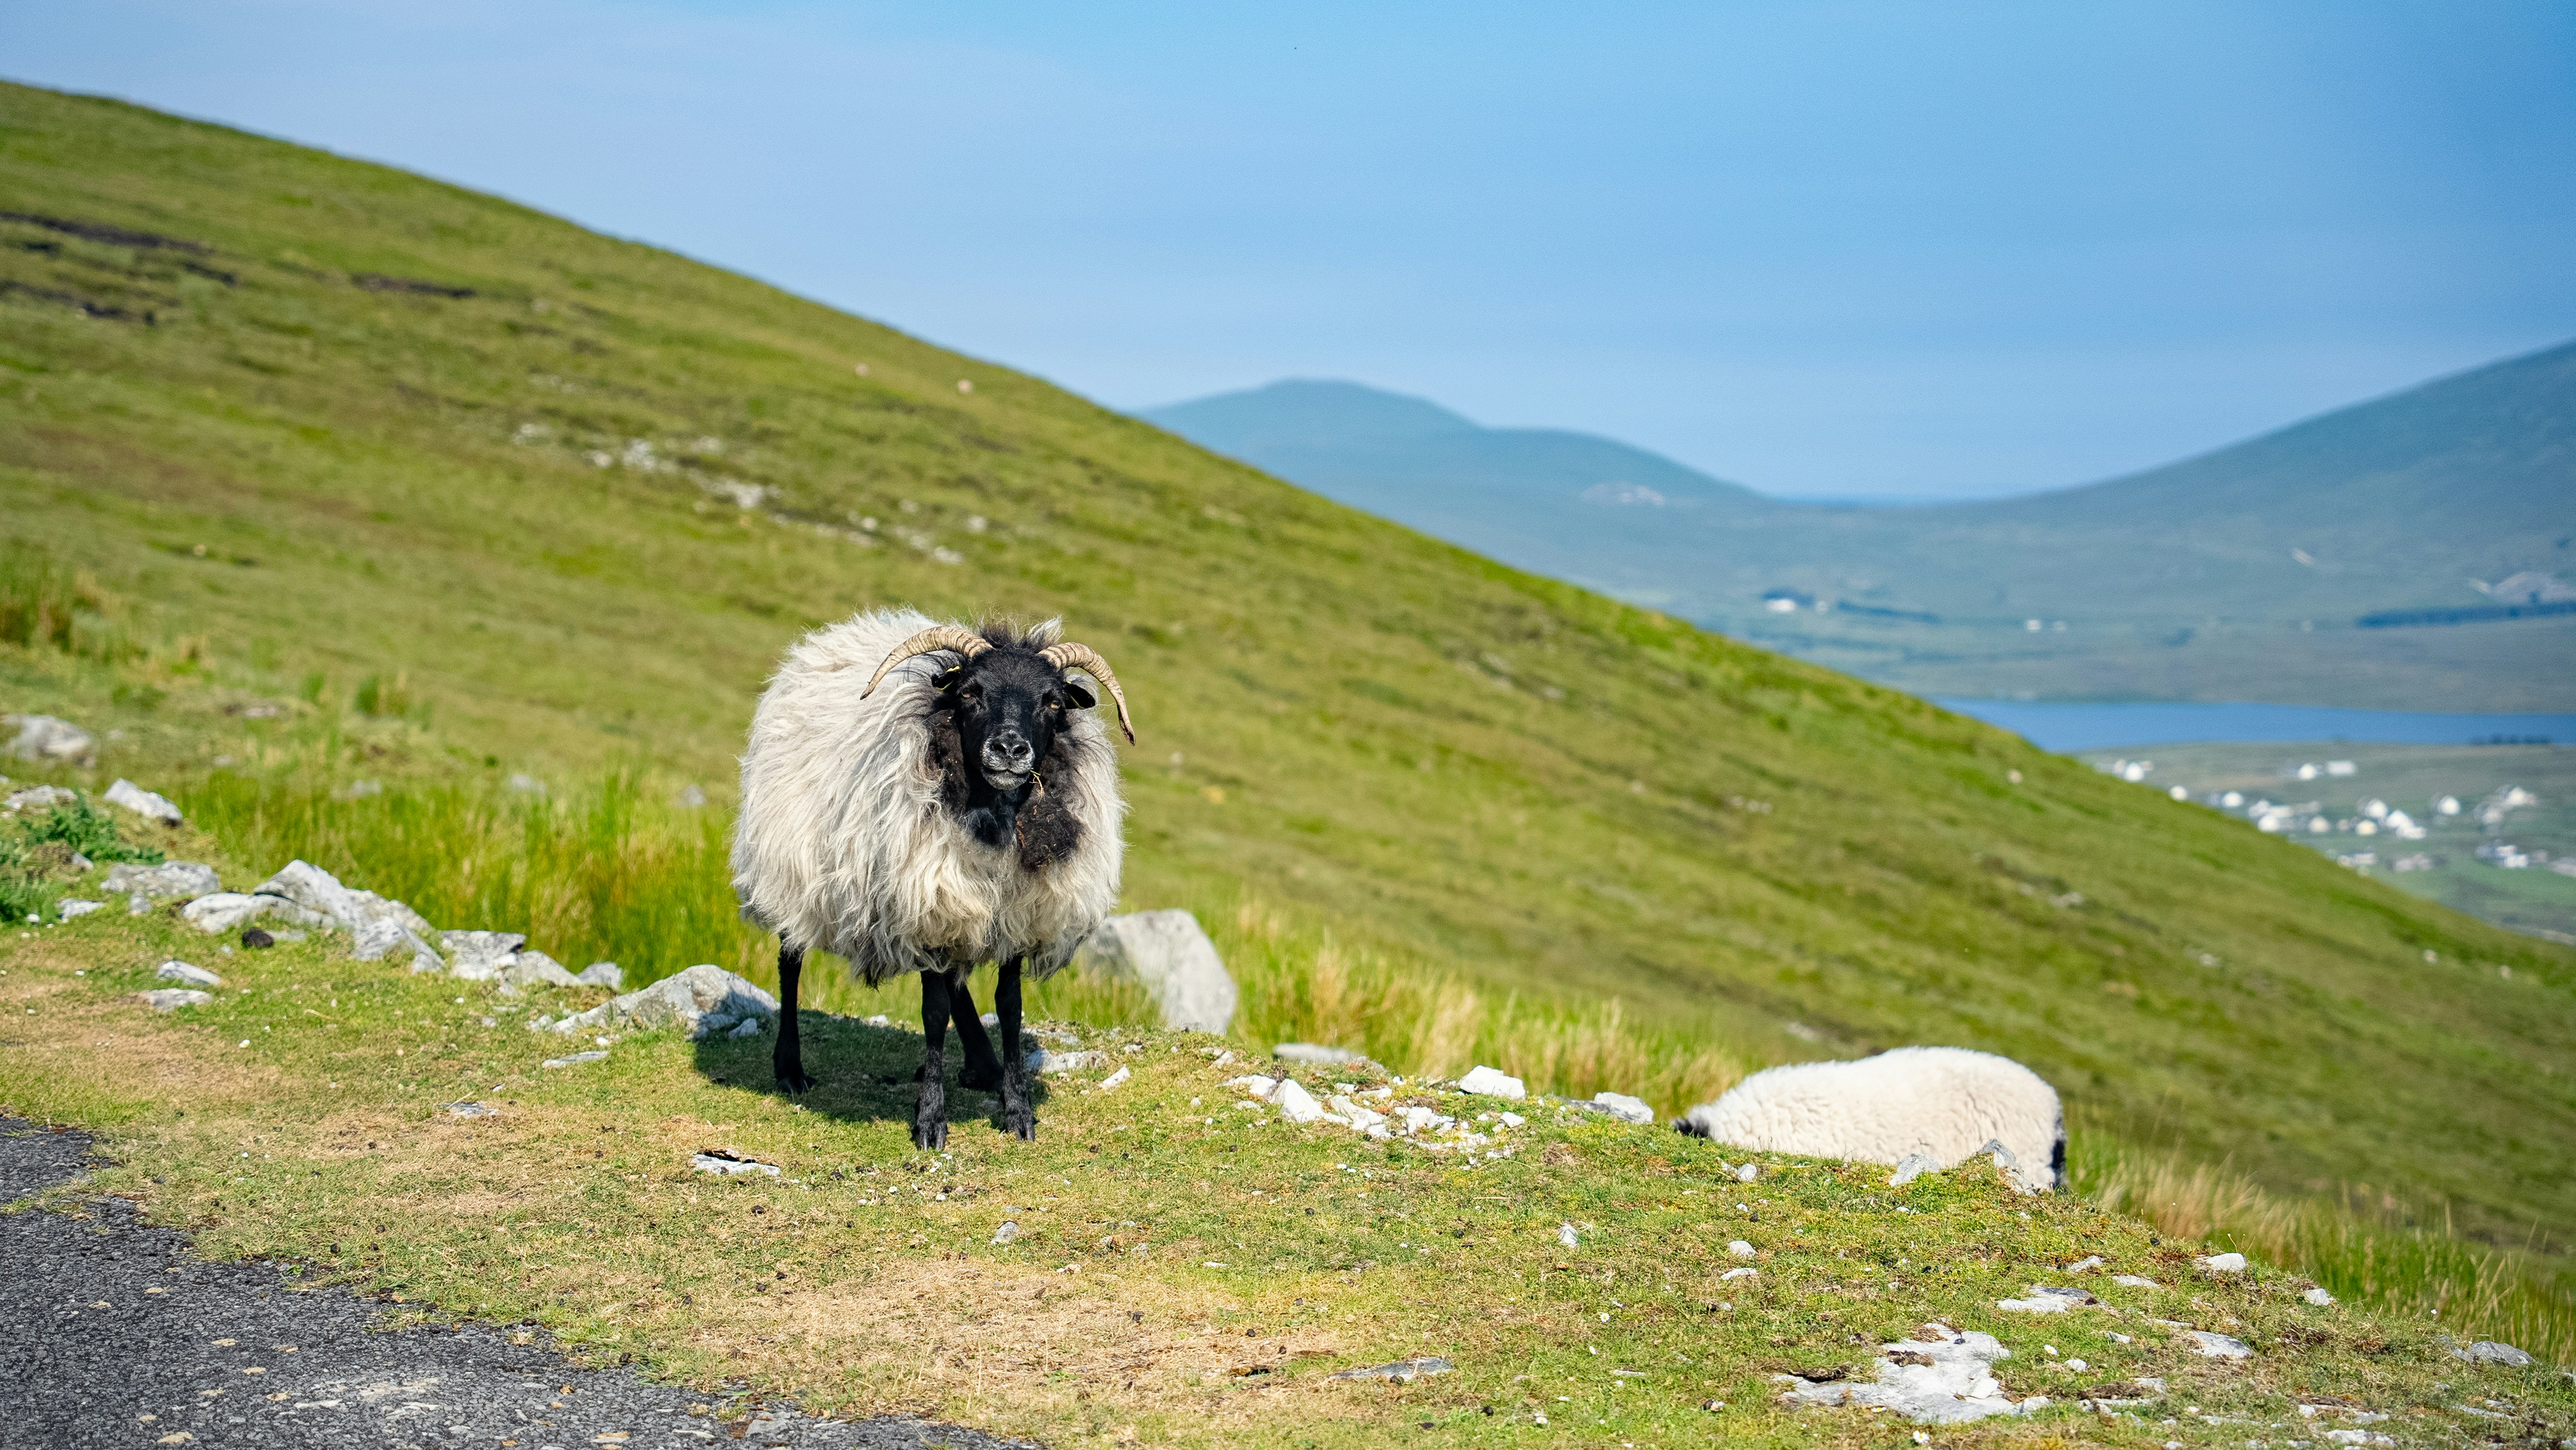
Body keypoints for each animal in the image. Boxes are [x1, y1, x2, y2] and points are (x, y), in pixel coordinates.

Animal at [732, 609, 1133, 1148]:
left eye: (1052, 701)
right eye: (969, 692)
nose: (1010, 749)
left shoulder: (1015, 915)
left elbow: (1010, 1008)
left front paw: (1017, 1110)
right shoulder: (924, 907)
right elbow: (934, 1013)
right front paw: (930, 1120)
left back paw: (983, 1065)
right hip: (793, 869)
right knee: (790, 962)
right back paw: (789, 1068)